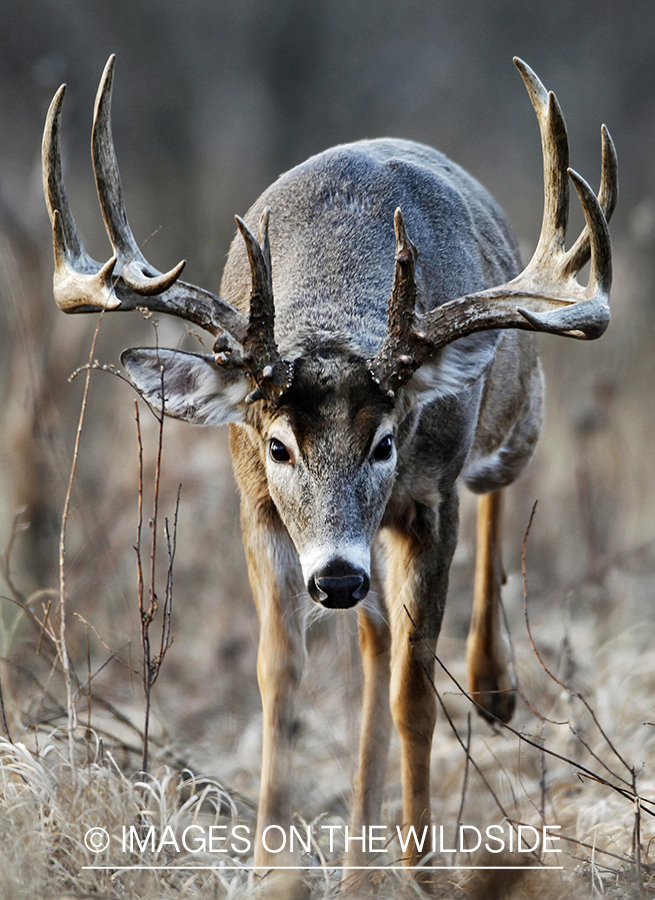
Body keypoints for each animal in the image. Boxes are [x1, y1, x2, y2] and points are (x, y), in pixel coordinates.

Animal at [42, 58, 616, 880]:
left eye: (385, 443)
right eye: (278, 447)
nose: (337, 579)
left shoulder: (427, 496)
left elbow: (415, 692)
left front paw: (421, 869)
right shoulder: (257, 506)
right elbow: (280, 680)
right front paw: (271, 872)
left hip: (514, 420)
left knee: (493, 496)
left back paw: (492, 688)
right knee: (374, 644)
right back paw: (355, 862)